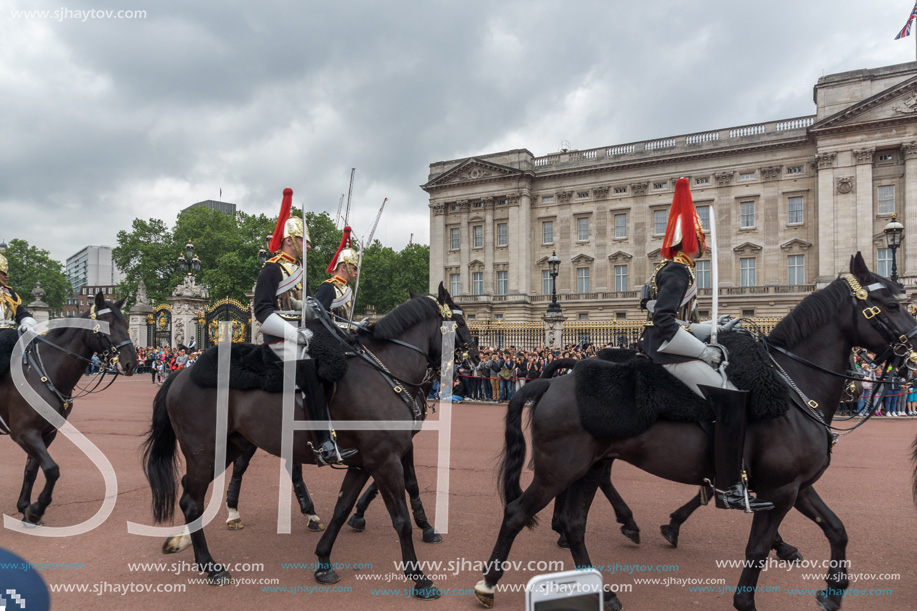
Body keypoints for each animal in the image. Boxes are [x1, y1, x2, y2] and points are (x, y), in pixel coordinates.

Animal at [0, 294, 137, 524]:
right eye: (107, 326)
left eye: (127, 325)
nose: (132, 364)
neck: (44, 373)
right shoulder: (24, 433)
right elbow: (52, 469)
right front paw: (37, 508)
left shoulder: (47, 432)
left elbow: (32, 469)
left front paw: (26, 509)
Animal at [141, 286, 480, 596]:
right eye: (462, 322)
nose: (476, 359)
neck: (385, 372)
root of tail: (182, 372)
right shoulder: (384, 459)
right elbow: (401, 517)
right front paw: (420, 577)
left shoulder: (367, 460)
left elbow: (343, 507)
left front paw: (324, 560)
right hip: (206, 451)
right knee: (192, 499)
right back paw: (210, 565)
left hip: (230, 445)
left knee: (195, 490)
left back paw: (188, 541)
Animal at [476, 253, 916, 611]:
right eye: (893, 304)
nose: (912, 359)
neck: (793, 388)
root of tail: (553, 381)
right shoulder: (779, 491)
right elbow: (756, 548)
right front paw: (747, 598)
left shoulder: (796, 487)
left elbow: (837, 529)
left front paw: (833, 591)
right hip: (560, 469)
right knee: (517, 513)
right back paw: (488, 584)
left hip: (588, 466)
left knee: (574, 522)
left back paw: (604, 586)